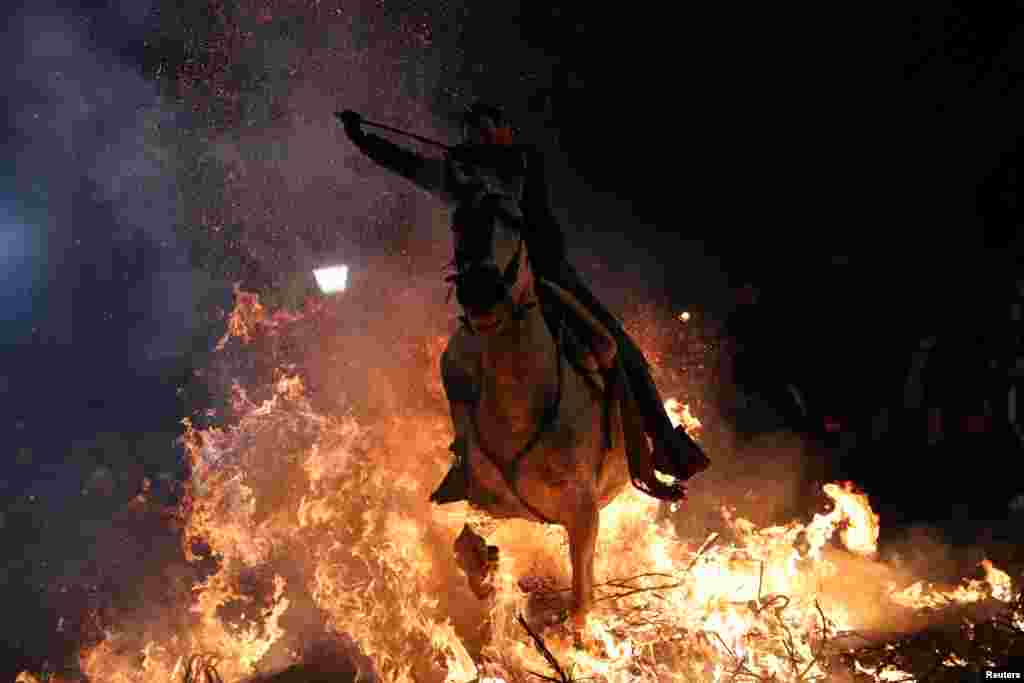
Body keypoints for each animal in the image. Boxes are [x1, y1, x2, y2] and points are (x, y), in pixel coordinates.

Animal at [432, 194, 679, 643]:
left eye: (515, 219)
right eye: (457, 218)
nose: (480, 292)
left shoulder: (584, 514)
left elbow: (581, 600)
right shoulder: (485, 501)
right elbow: (467, 547)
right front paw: (486, 572)